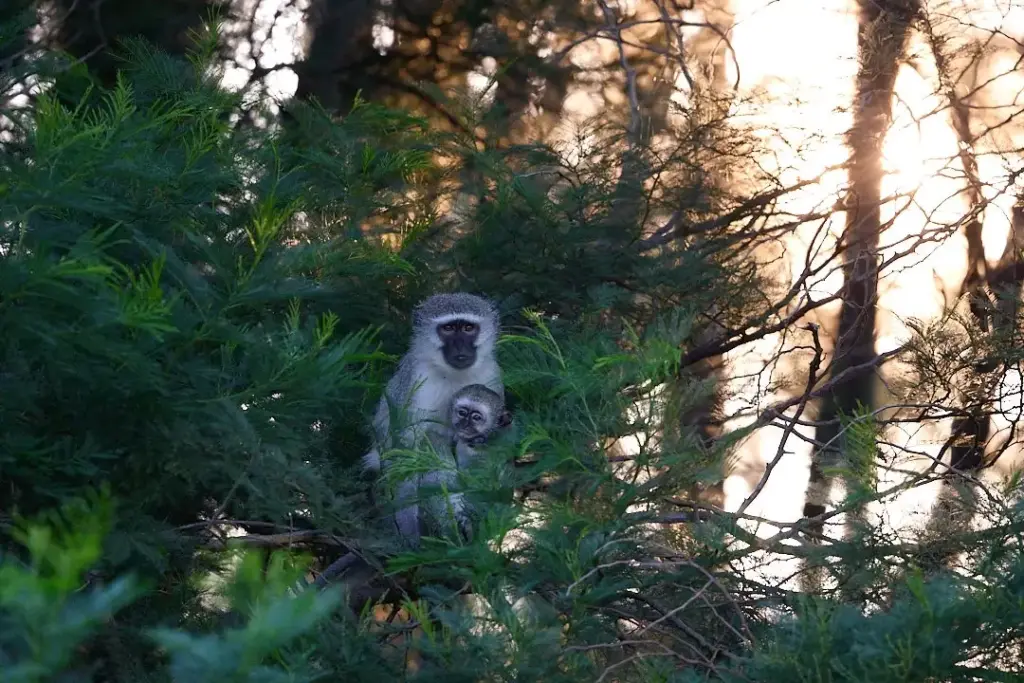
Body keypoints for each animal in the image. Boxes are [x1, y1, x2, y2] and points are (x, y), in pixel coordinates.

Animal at [362, 292, 504, 546]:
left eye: (468, 328)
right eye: (447, 329)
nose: (460, 348)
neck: (453, 375)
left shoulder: (492, 375)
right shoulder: (416, 381)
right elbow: (404, 451)